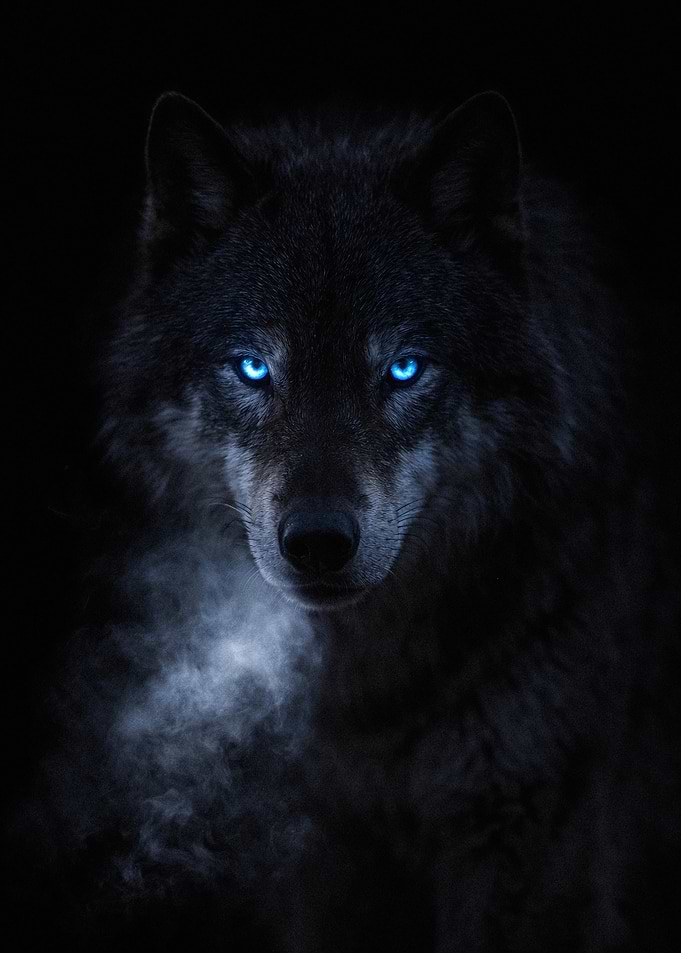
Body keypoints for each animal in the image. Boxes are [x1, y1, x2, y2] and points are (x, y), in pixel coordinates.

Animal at [47, 91, 676, 951]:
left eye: (402, 368)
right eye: (253, 367)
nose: (317, 542)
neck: (371, 692)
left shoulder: (531, 837)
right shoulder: (322, 852)